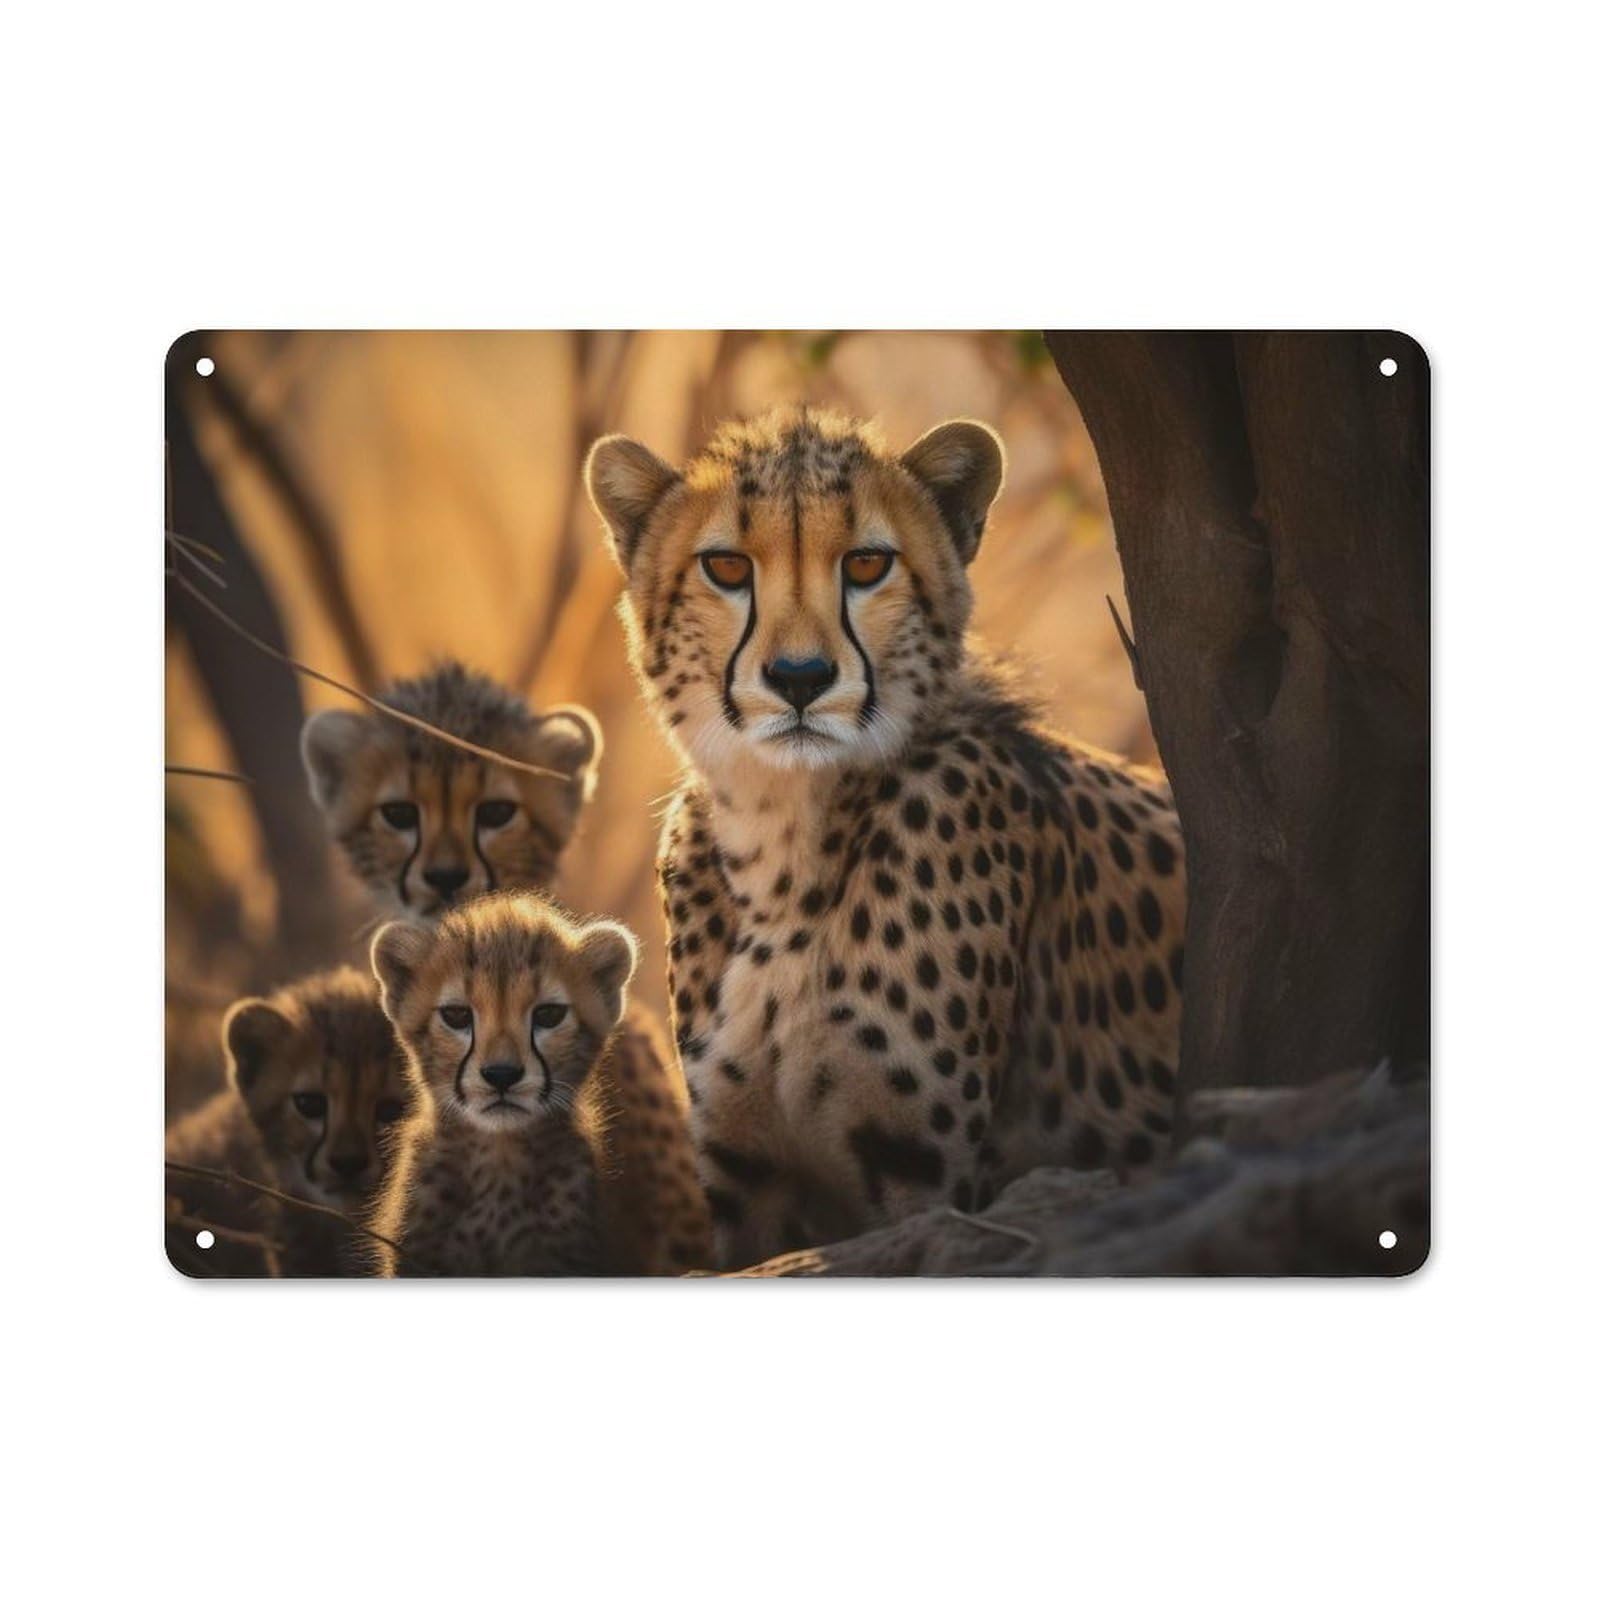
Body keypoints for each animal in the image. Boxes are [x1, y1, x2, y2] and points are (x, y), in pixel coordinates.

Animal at [587, 404, 1188, 1267]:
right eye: (726, 568)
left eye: (867, 564)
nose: (800, 678)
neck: (784, 848)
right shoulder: (748, 1182)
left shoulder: (924, 1178)